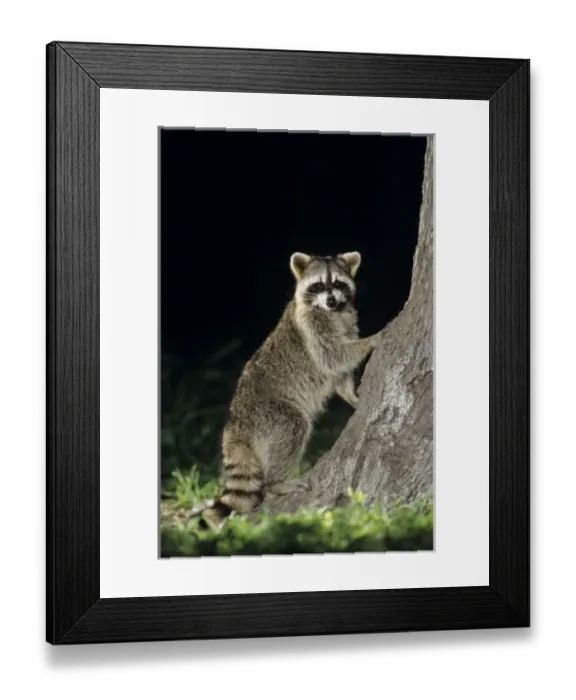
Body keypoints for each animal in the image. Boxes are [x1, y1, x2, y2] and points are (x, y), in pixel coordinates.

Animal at [195, 251, 379, 529]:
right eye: (318, 285)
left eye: (337, 283)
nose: (331, 300)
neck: (333, 312)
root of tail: (235, 425)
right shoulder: (312, 329)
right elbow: (333, 357)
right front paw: (374, 339)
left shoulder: (347, 321)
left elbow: (338, 372)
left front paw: (352, 395)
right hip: (270, 413)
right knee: (292, 429)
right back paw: (277, 483)